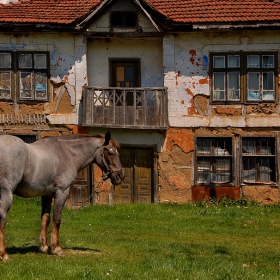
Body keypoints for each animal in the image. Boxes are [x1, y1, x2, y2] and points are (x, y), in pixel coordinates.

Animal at [0, 132, 123, 262]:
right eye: (110, 152)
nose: (120, 176)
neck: (67, 153)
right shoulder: (62, 191)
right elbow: (57, 219)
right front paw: (56, 248)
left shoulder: (47, 195)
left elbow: (45, 219)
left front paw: (44, 247)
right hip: (6, 193)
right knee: (2, 218)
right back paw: (4, 254)